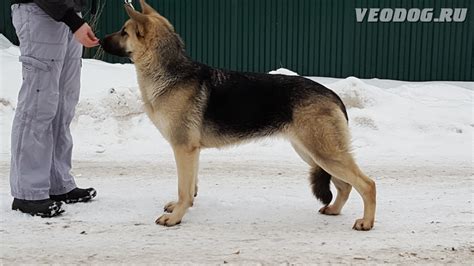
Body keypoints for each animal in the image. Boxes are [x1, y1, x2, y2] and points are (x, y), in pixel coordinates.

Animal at [102, 0, 376, 230]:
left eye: (124, 32)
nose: (100, 40)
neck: (170, 73)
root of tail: (333, 94)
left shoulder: (183, 149)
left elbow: (184, 189)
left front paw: (176, 217)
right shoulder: (192, 151)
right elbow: (191, 188)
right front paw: (182, 208)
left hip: (323, 153)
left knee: (367, 184)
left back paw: (366, 222)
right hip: (312, 154)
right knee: (345, 184)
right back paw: (334, 210)